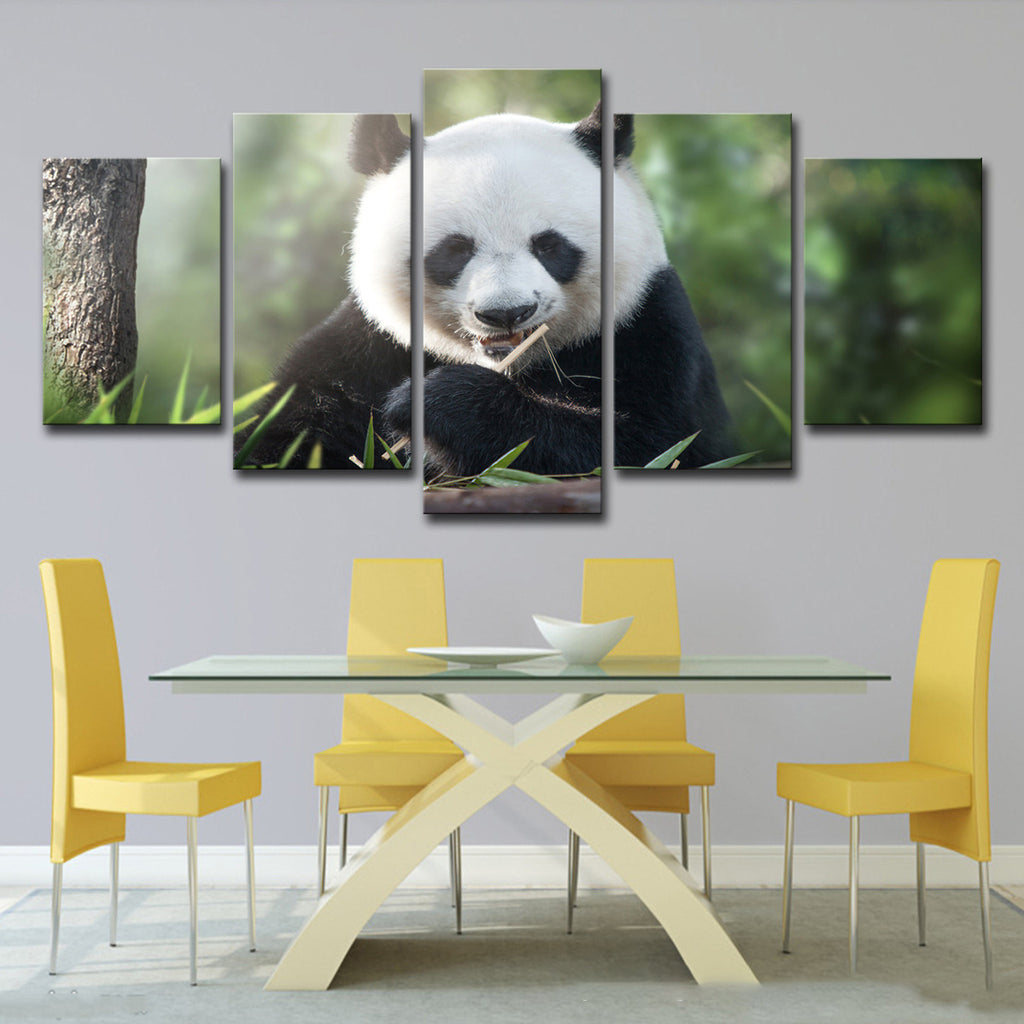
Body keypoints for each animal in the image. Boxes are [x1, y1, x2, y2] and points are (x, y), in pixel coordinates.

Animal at [234, 106, 735, 473]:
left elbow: (652, 446)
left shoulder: (648, 329)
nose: (506, 313)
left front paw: (437, 403)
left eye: (549, 245)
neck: (509, 365)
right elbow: (286, 434)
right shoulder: (367, 347)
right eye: (454, 250)